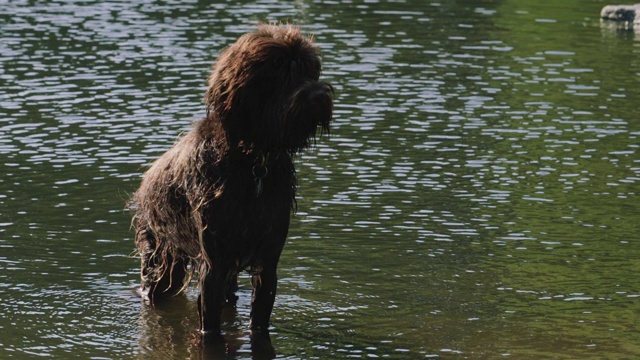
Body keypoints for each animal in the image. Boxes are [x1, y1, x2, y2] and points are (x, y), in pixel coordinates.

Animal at [128, 24, 332, 338]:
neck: (254, 162)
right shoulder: (214, 265)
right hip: (163, 261)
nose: (319, 97)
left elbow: (258, 322)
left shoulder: (267, 264)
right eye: (280, 70)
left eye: (311, 70)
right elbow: (210, 330)